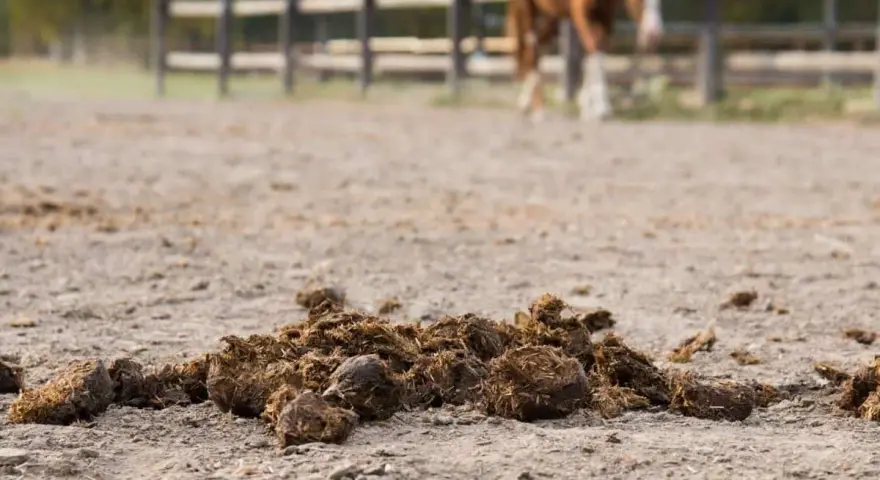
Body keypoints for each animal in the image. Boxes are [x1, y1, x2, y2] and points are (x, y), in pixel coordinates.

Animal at [505, 0, 664, 121]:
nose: (654, 34)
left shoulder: (605, 16)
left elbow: (596, 53)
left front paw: (587, 106)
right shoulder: (580, 12)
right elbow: (594, 50)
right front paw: (601, 108)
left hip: (553, 14)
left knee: (536, 46)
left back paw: (525, 102)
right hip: (525, 7)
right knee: (531, 46)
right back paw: (539, 110)